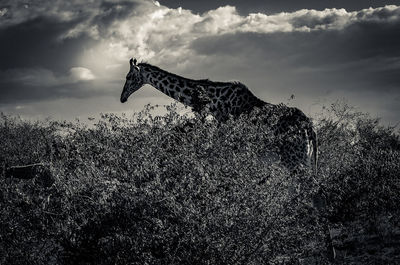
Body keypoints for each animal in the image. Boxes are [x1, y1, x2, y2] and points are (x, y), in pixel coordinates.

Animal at [120, 58, 318, 173]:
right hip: (305, 158)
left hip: (294, 158)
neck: (214, 100)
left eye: (128, 77)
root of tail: (310, 127)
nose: (122, 98)